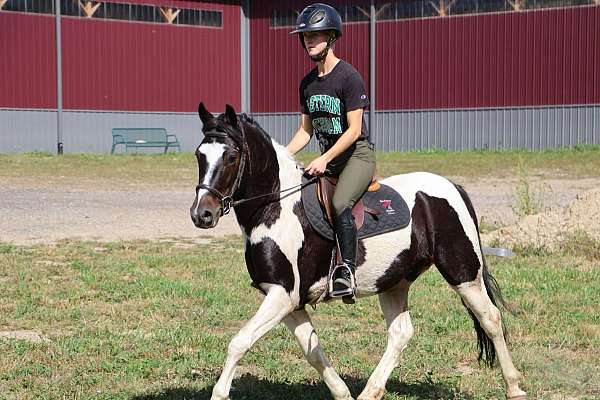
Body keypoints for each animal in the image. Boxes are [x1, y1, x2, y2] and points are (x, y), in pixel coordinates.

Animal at [189, 104, 524, 400]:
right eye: (199, 155)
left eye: (232, 156)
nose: (201, 214)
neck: (276, 207)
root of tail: (452, 186)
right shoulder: (289, 300)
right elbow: (313, 351)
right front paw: (343, 393)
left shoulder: (282, 295)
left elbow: (239, 342)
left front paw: (219, 394)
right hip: (394, 281)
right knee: (401, 333)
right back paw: (370, 392)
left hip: (463, 272)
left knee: (491, 319)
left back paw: (514, 387)